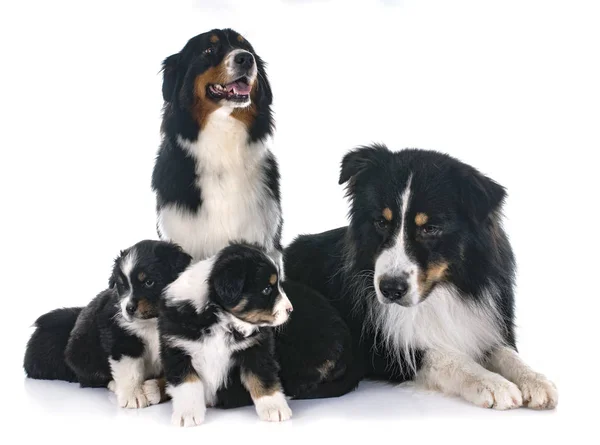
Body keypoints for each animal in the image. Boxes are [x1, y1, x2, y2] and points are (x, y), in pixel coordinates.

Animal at [23, 238, 190, 408]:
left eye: (149, 282)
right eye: (122, 285)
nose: (129, 309)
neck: (151, 321)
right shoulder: (120, 337)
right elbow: (129, 369)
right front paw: (133, 396)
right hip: (84, 352)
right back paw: (114, 385)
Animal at [157, 243, 292, 426]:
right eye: (266, 289)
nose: (290, 309)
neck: (220, 319)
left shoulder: (256, 348)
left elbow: (263, 377)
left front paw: (274, 408)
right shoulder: (177, 349)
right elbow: (188, 384)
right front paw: (188, 414)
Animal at [286, 145, 556, 410]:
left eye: (430, 228)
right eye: (381, 222)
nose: (390, 289)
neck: (441, 294)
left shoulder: (482, 323)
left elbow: (505, 353)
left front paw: (536, 380)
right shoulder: (383, 349)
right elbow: (444, 355)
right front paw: (493, 384)